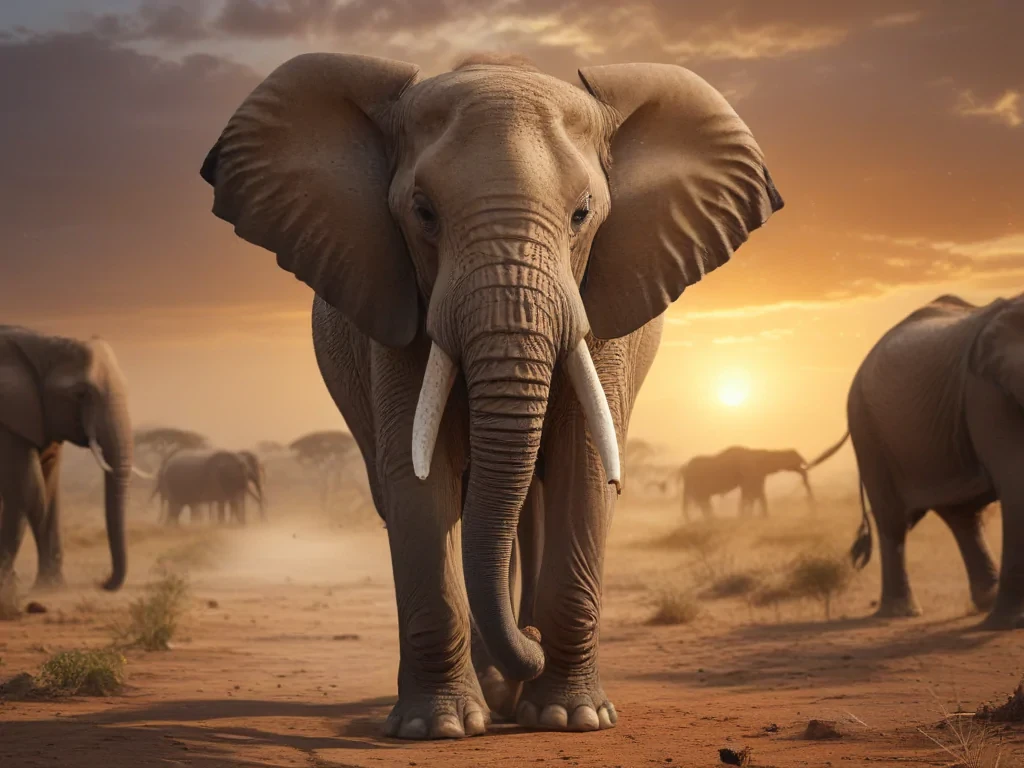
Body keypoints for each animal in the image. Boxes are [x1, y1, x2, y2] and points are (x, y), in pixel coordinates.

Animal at [0, 326, 144, 591]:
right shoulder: (7, 421)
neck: (43, 345)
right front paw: (10, 586)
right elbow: (30, 489)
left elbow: (48, 489)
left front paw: (51, 588)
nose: (100, 581)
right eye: (80, 394)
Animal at [200, 52, 782, 738]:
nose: (531, 645)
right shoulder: (395, 303)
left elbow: (585, 467)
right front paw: (438, 728)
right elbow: (420, 480)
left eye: (583, 213)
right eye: (423, 212)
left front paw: (571, 716)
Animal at [679, 446, 816, 520]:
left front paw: (761, 517)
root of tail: (685, 468)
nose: (810, 501)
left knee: (702, 502)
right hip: (695, 482)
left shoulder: (757, 475)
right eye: (794, 459)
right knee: (700, 501)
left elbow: (757, 494)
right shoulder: (749, 474)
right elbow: (750, 494)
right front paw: (746, 518)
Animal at [821, 293, 1024, 627]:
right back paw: (901, 613)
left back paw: (985, 600)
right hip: (867, 428)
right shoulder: (987, 393)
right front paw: (1011, 623)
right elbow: (1016, 482)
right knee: (891, 519)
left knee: (962, 517)